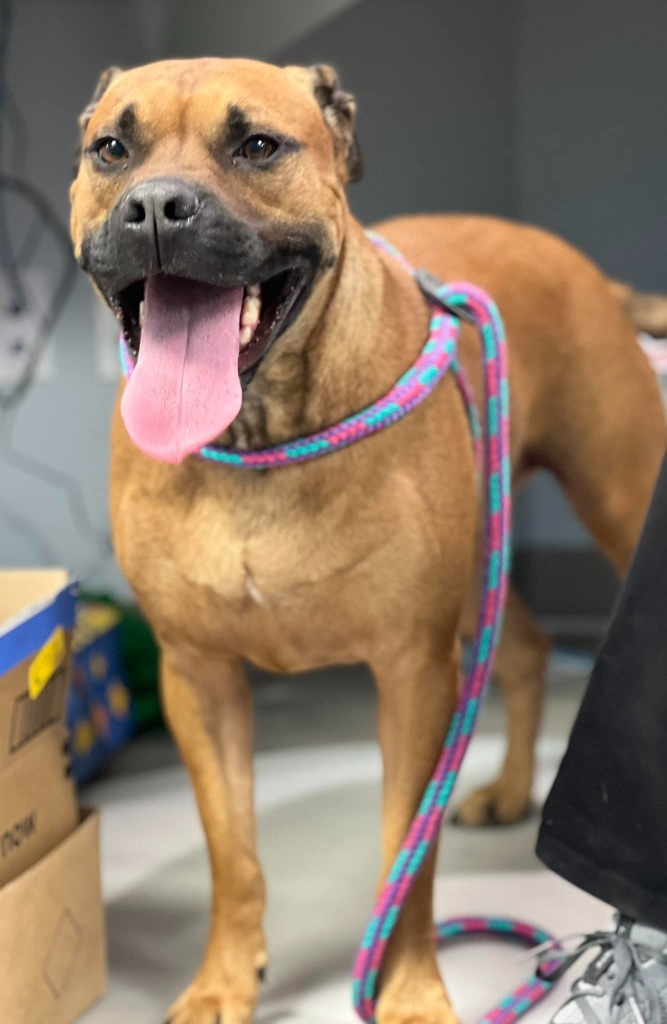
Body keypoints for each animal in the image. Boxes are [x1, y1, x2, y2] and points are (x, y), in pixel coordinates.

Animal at [69, 58, 667, 1024]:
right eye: (112, 148)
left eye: (258, 145)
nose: (155, 207)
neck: (261, 434)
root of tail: (588, 274)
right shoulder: (198, 678)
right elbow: (231, 855)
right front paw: (224, 979)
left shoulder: (414, 674)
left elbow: (405, 862)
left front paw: (410, 990)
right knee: (527, 650)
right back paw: (508, 790)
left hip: (615, 499)